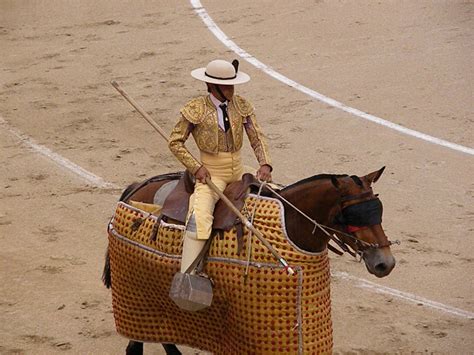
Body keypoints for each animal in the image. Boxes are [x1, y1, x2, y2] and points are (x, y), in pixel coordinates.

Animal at [103, 167, 396, 355]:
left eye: (378, 210)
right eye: (352, 216)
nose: (385, 263)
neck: (290, 223)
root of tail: (136, 189)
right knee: (136, 346)